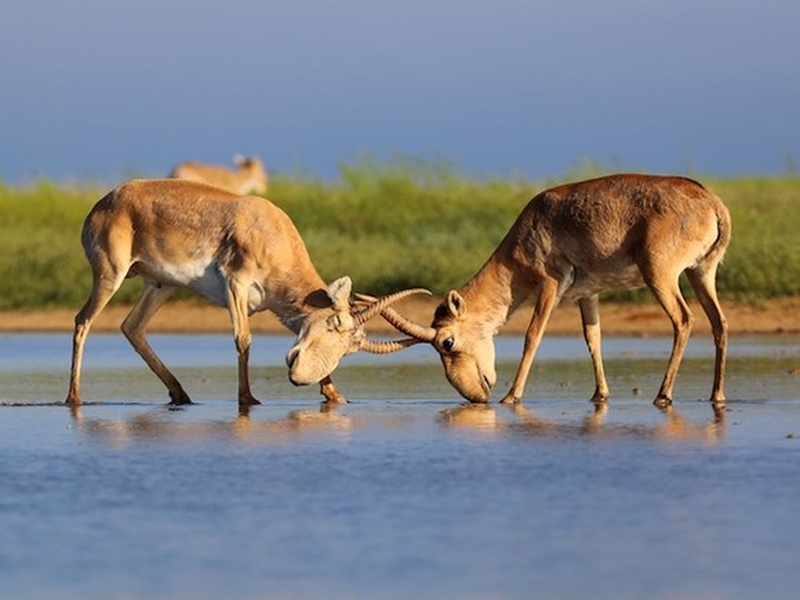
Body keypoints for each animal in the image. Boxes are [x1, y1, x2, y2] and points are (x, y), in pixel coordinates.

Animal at [382, 173, 732, 408]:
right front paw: (599, 394)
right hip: (702, 273)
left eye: (447, 342)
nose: (476, 397)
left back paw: (663, 394)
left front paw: (511, 396)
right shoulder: (588, 294)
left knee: (684, 320)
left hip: (661, 277)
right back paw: (716, 395)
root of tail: (713, 204)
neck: (536, 220)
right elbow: (593, 339)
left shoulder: (550, 284)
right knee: (719, 322)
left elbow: (532, 335)